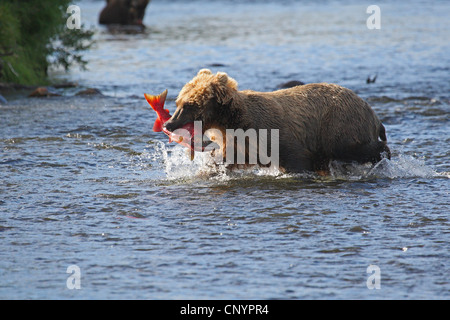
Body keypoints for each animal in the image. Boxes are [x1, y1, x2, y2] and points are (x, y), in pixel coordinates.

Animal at [164, 69, 390, 174]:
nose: (168, 124)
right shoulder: (239, 144)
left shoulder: (277, 136)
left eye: (189, 105)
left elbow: (296, 161)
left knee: (356, 147)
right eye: (178, 101)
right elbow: (221, 161)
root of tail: (371, 110)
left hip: (338, 125)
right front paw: (207, 170)